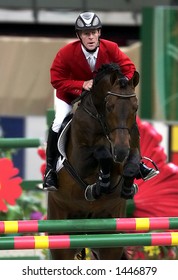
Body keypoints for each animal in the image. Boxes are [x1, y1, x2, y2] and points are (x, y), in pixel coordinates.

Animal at [47, 63, 140, 260]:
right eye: (109, 106)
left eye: (135, 107)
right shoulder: (81, 161)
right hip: (61, 237)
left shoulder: (131, 149)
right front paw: (99, 184)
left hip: (107, 241)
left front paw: (127, 187)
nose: (121, 151)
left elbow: (130, 166)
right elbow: (102, 155)